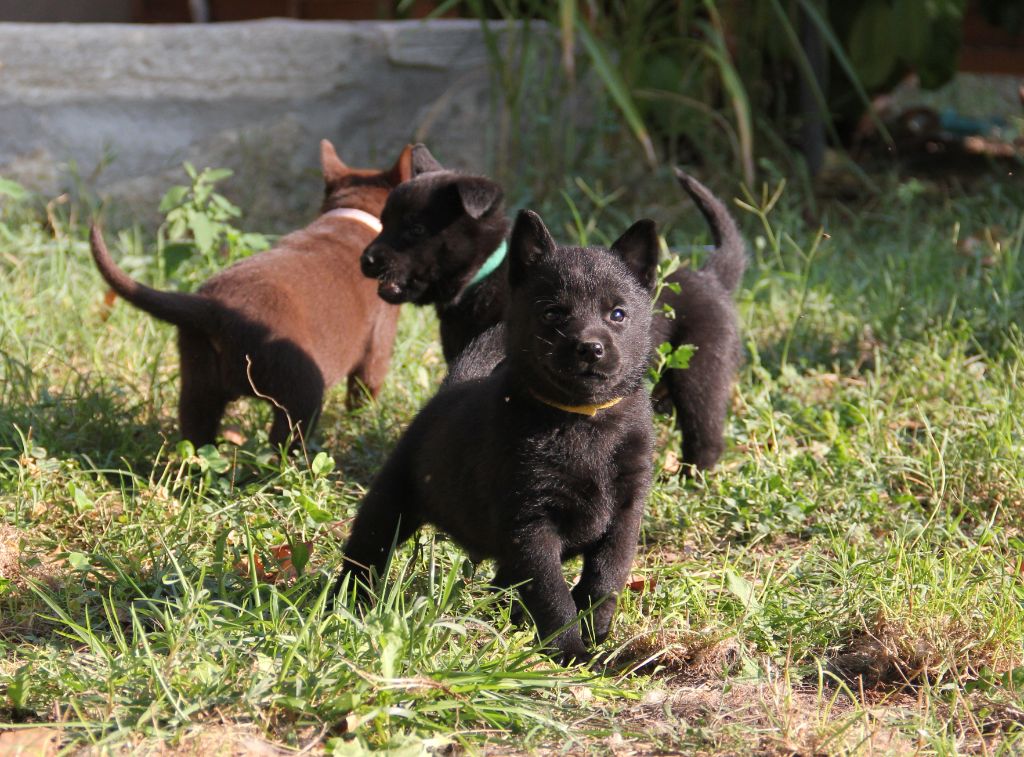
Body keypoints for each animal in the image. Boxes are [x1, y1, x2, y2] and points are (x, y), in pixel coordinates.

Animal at [89, 140, 412, 448]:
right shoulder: (379, 340)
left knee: (196, 429)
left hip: (198, 379)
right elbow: (365, 387)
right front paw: (360, 422)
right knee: (285, 439)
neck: (355, 215)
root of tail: (213, 309)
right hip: (301, 388)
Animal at [336, 209, 658, 664]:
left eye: (618, 314)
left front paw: (597, 637)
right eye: (553, 313)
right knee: (366, 551)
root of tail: (451, 386)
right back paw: (344, 603)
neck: (583, 420)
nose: (590, 348)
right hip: (390, 503)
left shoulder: (624, 516)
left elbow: (604, 580)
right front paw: (571, 653)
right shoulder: (531, 525)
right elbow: (553, 595)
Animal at [361, 145, 746, 473]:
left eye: (415, 229)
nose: (366, 260)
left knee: (704, 431)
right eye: (383, 221)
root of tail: (711, 276)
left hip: (701, 372)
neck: (482, 275)